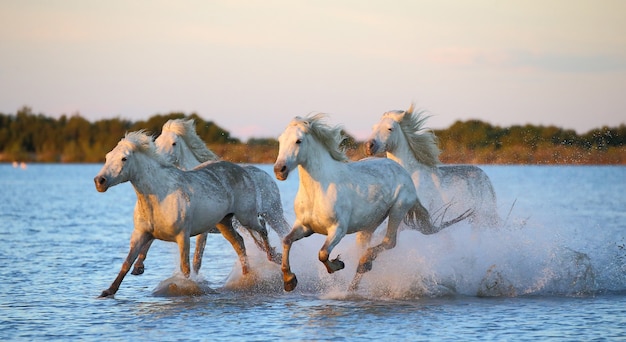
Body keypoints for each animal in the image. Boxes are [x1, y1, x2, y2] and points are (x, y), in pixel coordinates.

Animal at [93, 130, 278, 296]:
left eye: (124, 158)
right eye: (107, 157)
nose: (99, 181)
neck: (160, 196)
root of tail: (243, 170)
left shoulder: (183, 236)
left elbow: (186, 268)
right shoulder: (141, 234)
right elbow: (127, 262)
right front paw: (108, 291)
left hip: (247, 217)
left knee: (262, 229)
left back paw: (273, 259)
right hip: (224, 223)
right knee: (239, 243)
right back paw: (247, 276)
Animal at [130, 119, 292, 276]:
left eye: (174, 143)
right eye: (157, 142)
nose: (160, 162)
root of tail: (267, 176)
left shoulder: (203, 230)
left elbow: (197, 260)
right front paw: (138, 267)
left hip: (273, 215)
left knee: (281, 232)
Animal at [272, 115, 468, 292]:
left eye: (298, 141)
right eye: (280, 140)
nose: (279, 170)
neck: (320, 189)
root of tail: (403, 171)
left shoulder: (337, 230)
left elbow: (322, 254)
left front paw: (338, 264)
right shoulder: (305, 227)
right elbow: (286, 240)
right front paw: (289, 281)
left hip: (398, 210)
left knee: (389, 242)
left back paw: (365, 262)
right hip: (370, 223)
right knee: (365, 248)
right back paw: (354, 283)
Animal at [364, 104, 500, 227]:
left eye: (390, 128)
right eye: (373, 127)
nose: (369, 146)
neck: (411, 175)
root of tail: (484, 175)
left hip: (483, 217)